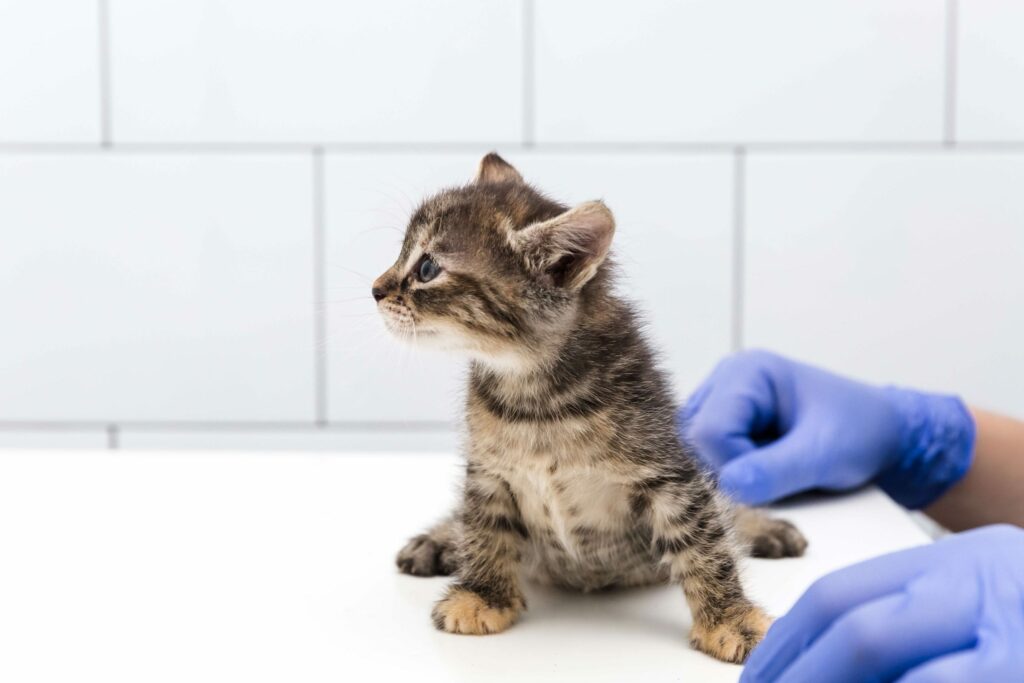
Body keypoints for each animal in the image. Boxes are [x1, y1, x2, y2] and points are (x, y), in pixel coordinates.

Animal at [372, 153, 802, 663]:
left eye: (427, 268)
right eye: (403, 254)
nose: (376, 289)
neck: (534, 395)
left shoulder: (669, 472)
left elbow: (705, 541)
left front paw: (731, 620)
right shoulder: (488, 471)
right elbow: (481, 527)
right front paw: (482, 596)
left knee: (724, 507)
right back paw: (437, 540)